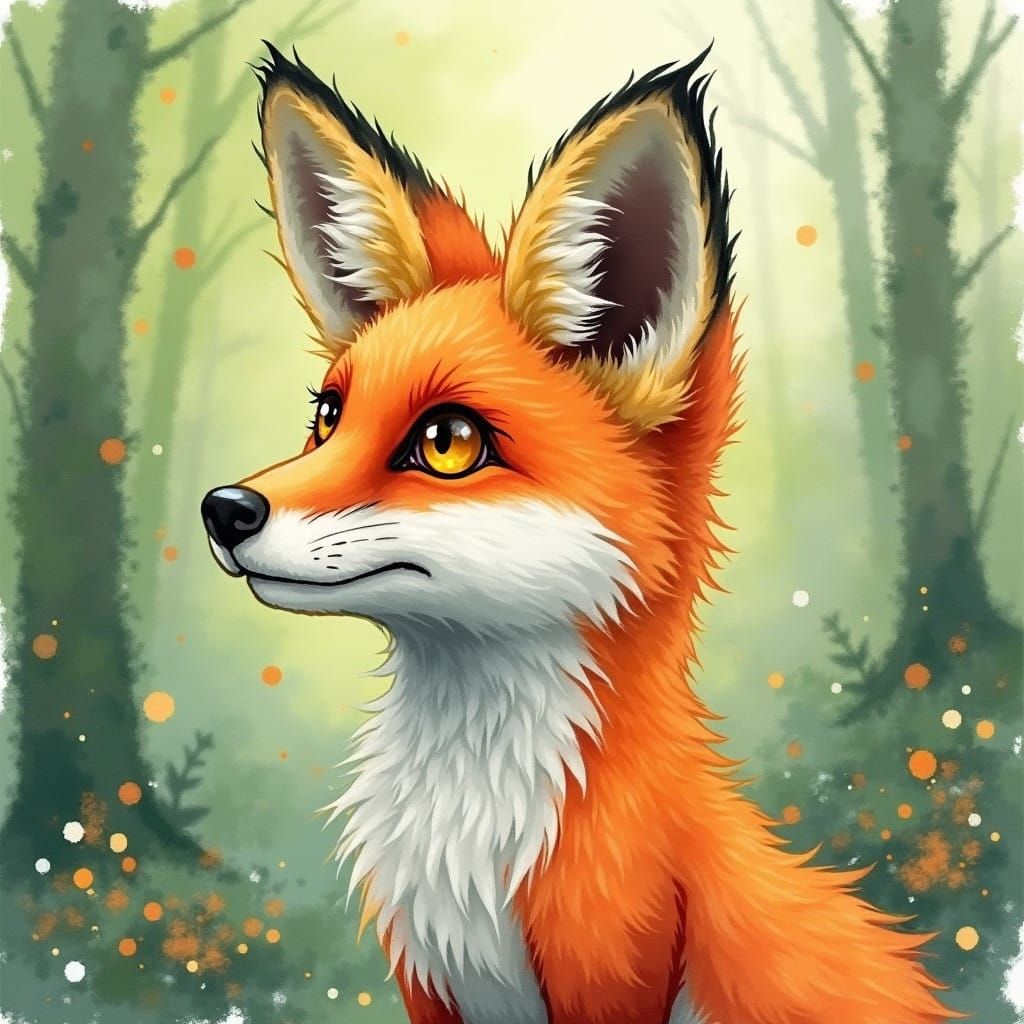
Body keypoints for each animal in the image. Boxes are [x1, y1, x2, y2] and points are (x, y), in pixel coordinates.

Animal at [201, 44, 956, 1024]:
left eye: (447, 442)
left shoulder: (609, 970)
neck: (472, 835)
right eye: (327, 418)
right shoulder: (428, 978)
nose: (224, 510)